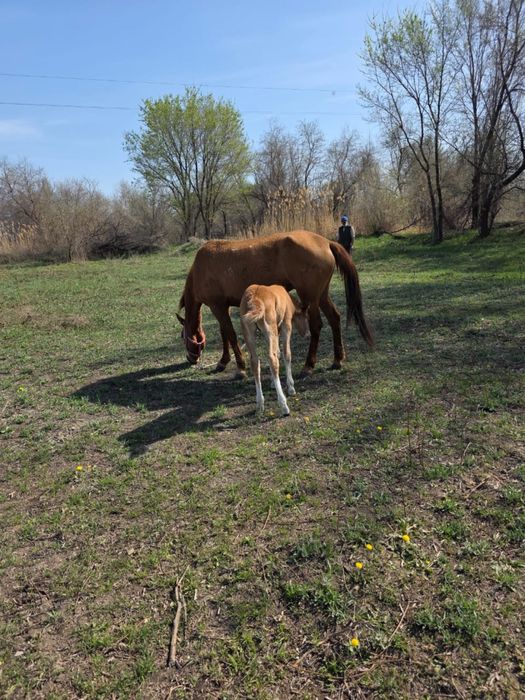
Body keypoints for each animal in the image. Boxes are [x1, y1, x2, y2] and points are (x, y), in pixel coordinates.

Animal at [177, 229, 374, 376]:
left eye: (182, 335)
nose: (190, 359)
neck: (201, 267)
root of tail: (326, 242)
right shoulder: (221, 307)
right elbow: (224, 333)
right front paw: (223, 361)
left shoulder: (217, 306)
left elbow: (230, 334)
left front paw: (240, 368)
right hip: (321, 296)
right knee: (334, 318)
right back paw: (337, 359)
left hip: (310, 297)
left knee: (317, 325)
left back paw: (308, 365)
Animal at [240, 284, 310, 416]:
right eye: (306, 317)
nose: (307, 334)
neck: (288, 299)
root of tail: (254, 299)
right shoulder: (286, 325)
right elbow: (286, 354)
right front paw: (291, 387)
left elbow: (277, 353)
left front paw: (272, 382)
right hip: (270, 327)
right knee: (272, 359)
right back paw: (284, 405)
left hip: (249, 332)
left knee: (255, 361)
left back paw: (260, 403)